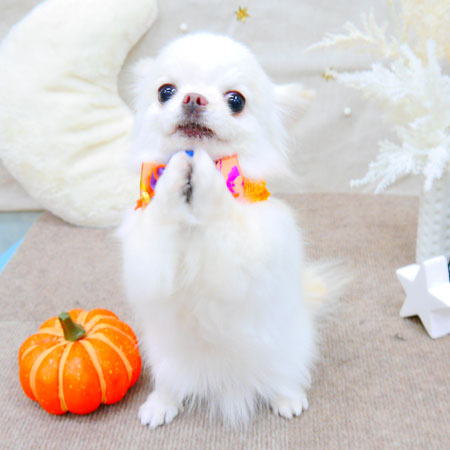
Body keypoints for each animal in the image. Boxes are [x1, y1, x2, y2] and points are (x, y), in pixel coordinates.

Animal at [118, 33, 339, 428]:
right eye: (165, 91)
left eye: (236, 100)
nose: (193, 98)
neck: (191, 209)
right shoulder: (147, 258)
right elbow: (162, 214)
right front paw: (177, 171)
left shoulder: (241, 259)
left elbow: (221, 209)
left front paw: (207, 171)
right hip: (165, 359)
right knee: (172, 385)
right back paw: (161, 403)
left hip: (285, 348)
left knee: (283, 376)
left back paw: (288, 397)